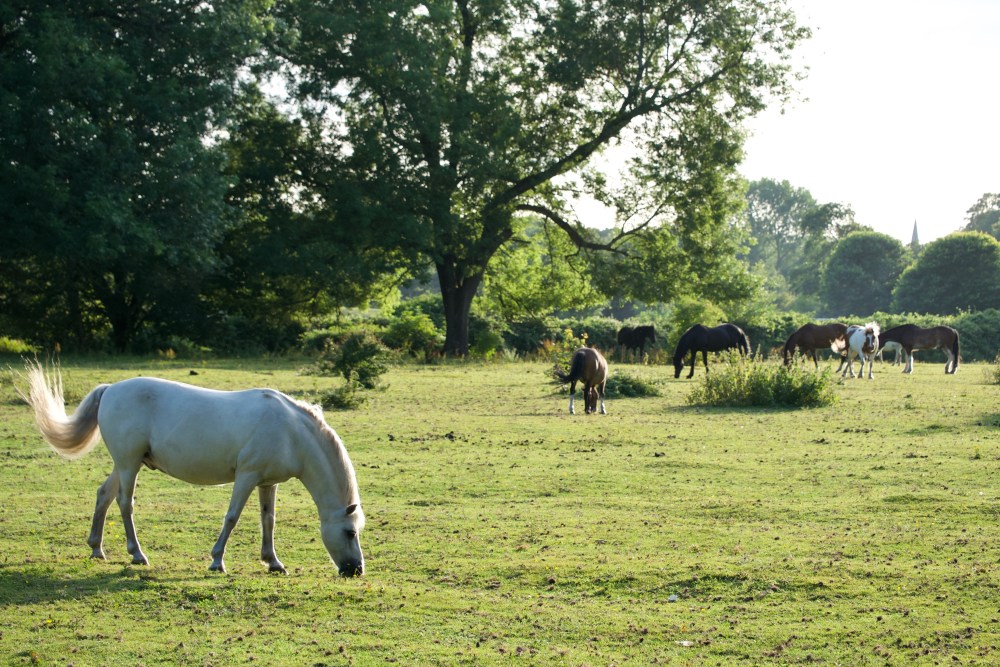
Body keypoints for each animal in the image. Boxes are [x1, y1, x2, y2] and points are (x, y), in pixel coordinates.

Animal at [19, 361, 365, 576]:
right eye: (349, 532)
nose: (356, 570)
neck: (291, 431)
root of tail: (111, 389)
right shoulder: (247, 476)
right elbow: (232, 517)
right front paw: (217, 561)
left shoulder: (268, 482)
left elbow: (268, 520)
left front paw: (273, 562)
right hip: (129, 465)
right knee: (124, 503)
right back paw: (137, 554)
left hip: (125, 463)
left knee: (104, 495)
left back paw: (97, 549)